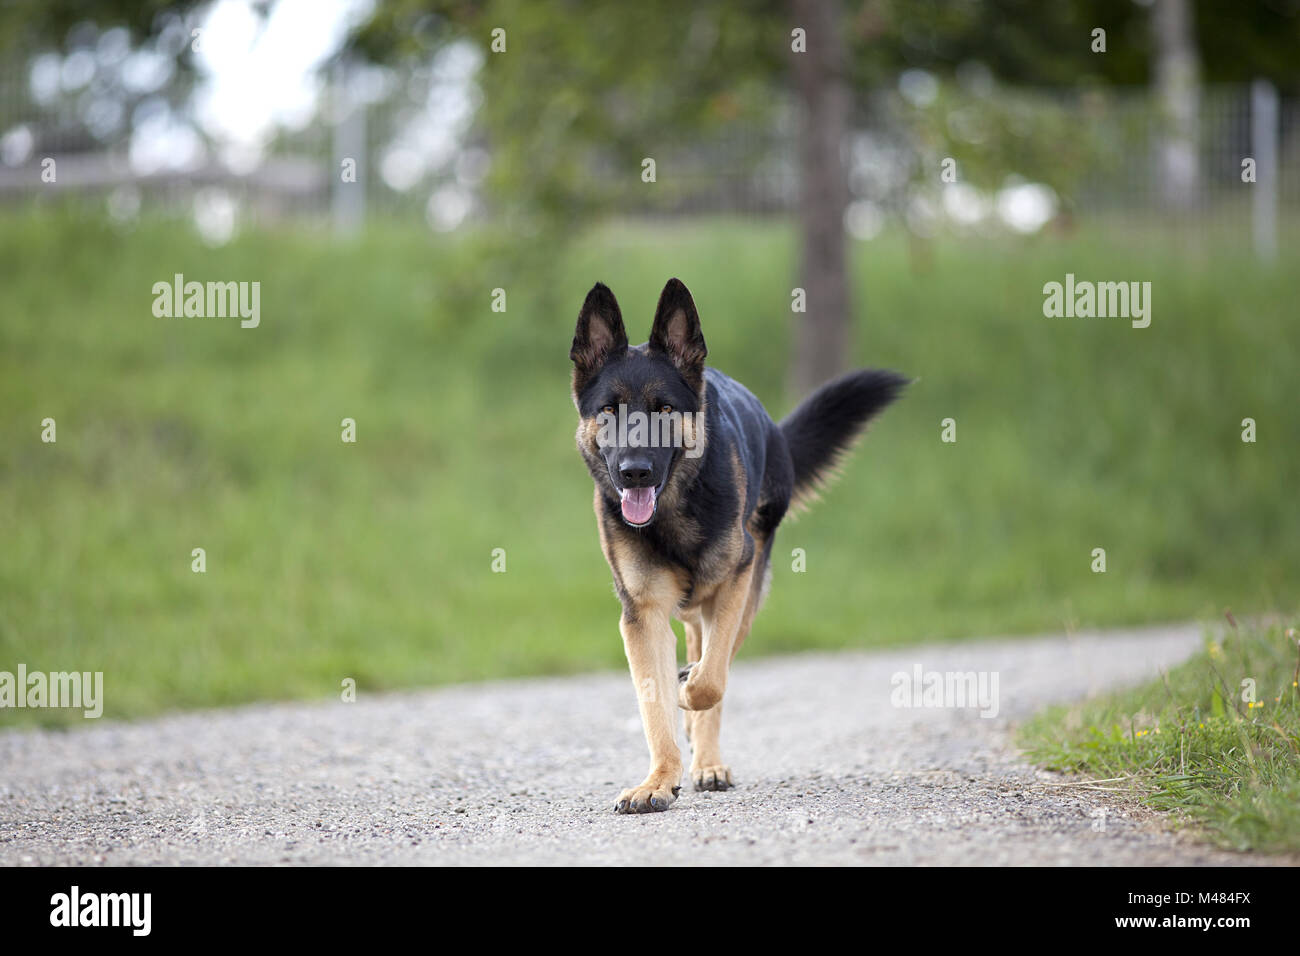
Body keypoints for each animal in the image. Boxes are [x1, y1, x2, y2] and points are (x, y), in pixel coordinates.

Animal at [569, 278, 904, 816]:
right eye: (609, 411)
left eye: (665, 411)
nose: (635, 472)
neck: (673, 511)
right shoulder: (642, 615)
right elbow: (654, 705)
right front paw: (658, 781)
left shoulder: (733, 585)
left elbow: (709, 682)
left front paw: (686, 696)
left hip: (745, 596)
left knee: (714, 664)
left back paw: (707, 759)